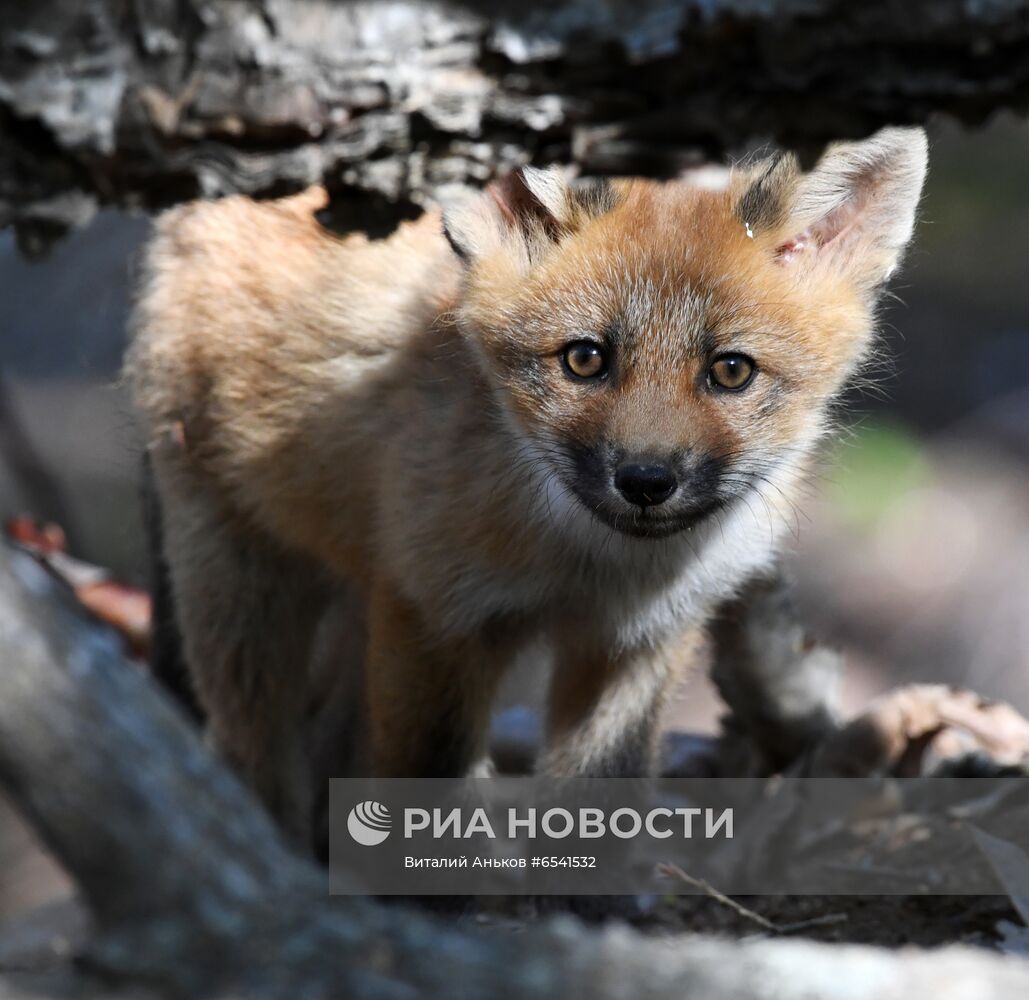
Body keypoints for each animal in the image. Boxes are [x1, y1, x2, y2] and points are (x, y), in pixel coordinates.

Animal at [124, 125, 930, 831]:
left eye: (730, 371)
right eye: (584, 359)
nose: (645, 480)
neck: (584, 568)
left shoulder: (636, 646)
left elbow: (597, 805)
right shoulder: (436, 618)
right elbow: (432, 792)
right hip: (241, 590)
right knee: (253, 756)